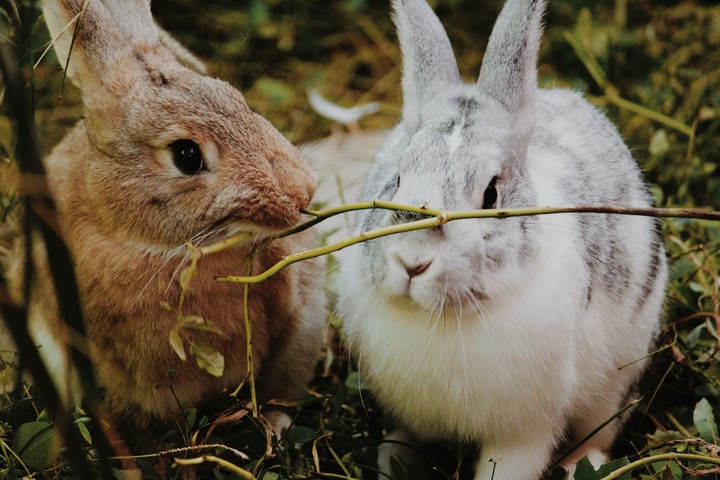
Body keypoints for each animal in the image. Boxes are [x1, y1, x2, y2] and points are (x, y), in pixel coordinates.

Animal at [336, 0, 667, 478]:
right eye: (396, 179)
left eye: (491, 194)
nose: (413, 263)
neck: (442, 319)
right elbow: (405, 436)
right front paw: (392, 460)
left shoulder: (523, 433)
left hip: (619, 373)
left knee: (601, 428)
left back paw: (580, 465)